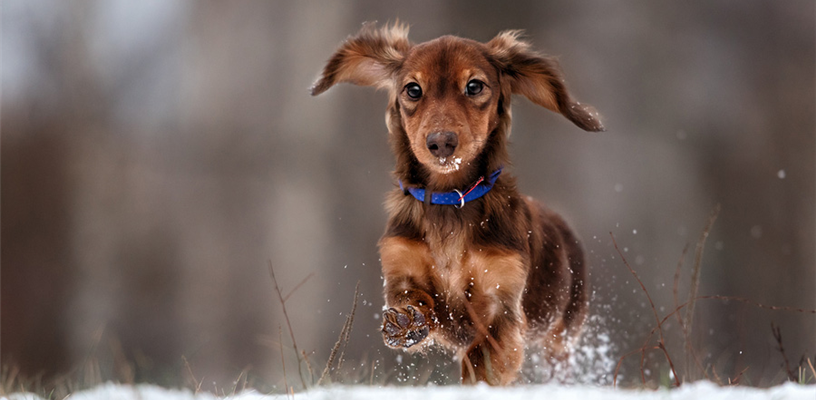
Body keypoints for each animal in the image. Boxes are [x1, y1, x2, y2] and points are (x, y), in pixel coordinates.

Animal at [311, 23, 604, 385]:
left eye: (474, 86)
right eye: (413, 90)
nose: (441, 143)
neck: (449, 202)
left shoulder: (501, 300)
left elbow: (482, 358)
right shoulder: (401, 268)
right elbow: (415, 300)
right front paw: (406, 321)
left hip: (562, 332)